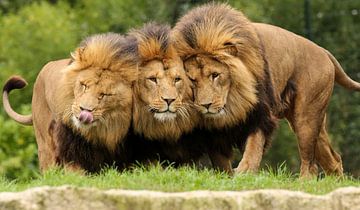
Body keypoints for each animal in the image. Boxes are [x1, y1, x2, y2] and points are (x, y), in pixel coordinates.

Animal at [173, 3, 358, 177]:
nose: (206, 105)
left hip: (306, 116)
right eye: (192, 80)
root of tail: (324, 51)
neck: (234, 101)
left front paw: (245, 172)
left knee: (310, 162)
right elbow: (220, 160)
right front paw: (226, 177)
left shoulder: (261, 113)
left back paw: (304, 180)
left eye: (215, 75)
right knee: (333, 159)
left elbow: (254, 146)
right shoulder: (213, 130)